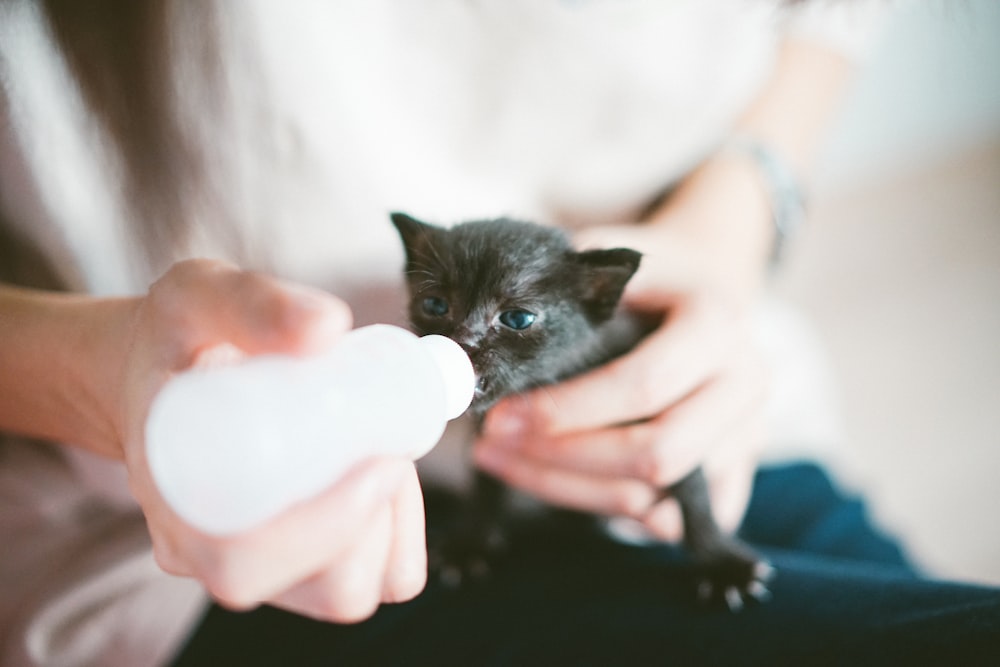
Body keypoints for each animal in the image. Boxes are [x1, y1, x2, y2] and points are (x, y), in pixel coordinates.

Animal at [390, 213, 772, 612]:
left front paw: (722, 562)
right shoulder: (489, 436)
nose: (462, 342)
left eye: (517, 318)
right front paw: (470, 542)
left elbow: (693, 489)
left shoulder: (668, 427)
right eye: (435, 305)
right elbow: (485, 481)